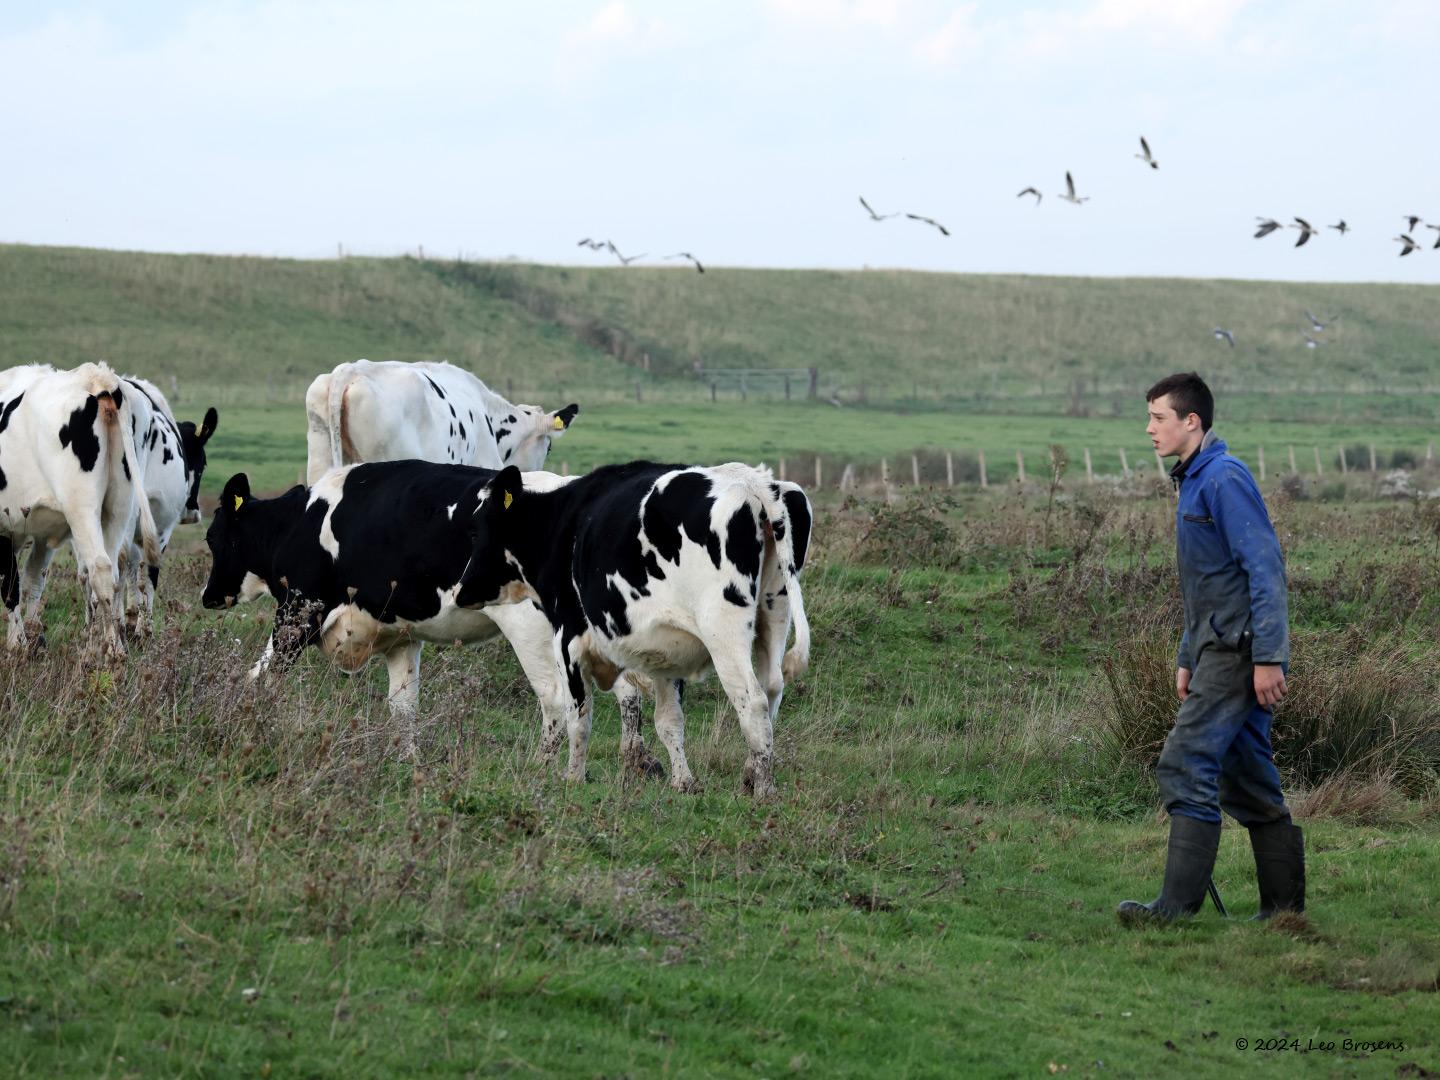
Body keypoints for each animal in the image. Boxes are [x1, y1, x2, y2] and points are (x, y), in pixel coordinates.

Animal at [201, 466, 578, 760]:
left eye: (212, 536)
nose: (208, 596)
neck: (297, 524)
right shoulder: (402, 638)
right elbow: (403, 706)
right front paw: (409, 762)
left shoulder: (298, 612)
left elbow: (261, 677)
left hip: (529, 630)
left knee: (556, 700)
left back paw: (540, 769)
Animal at [455, 460, 812, 800]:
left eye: (475, 531)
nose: (460, 591)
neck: (562, 522)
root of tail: (753, 481)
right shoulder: (667, 652)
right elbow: (669, 720)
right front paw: (683, 782)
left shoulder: (567, 636)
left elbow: (578, 716)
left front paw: (573, 778)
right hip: (775, 612)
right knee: (772, 688)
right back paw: (751, 777)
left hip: (724, 628)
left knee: (751, 700)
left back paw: (764, 790)